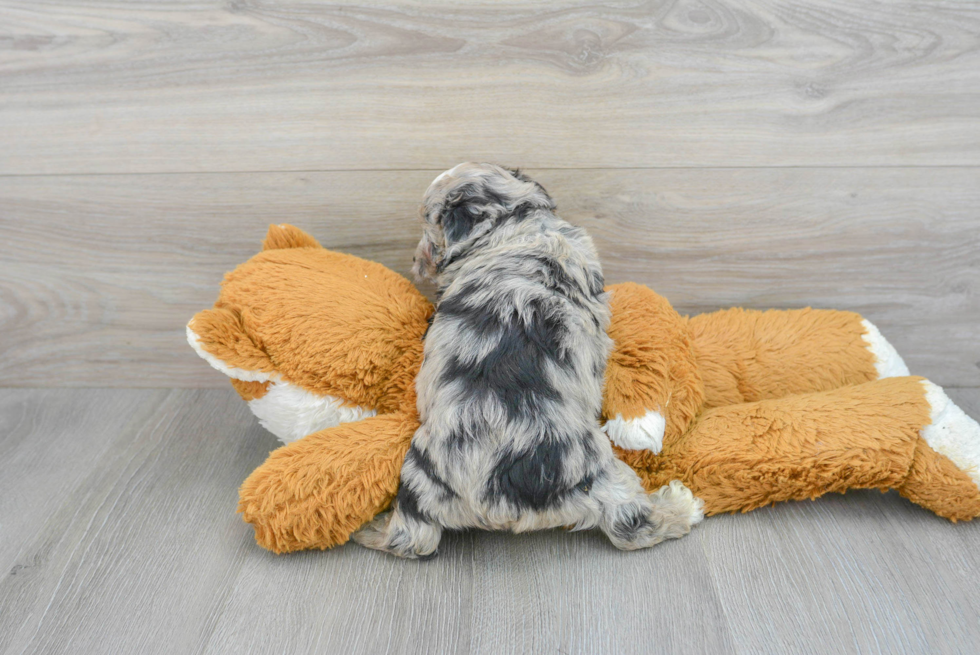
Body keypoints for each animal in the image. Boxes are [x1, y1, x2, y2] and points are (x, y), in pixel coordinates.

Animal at [354, 163, 704, 560]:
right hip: (605, 476)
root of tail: (497, 502)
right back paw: (682, 506)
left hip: (419, 479)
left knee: (412, 539)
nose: (415, 263)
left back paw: (371, 528)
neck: (513, 223)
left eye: (428, 224)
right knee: (631, 527)